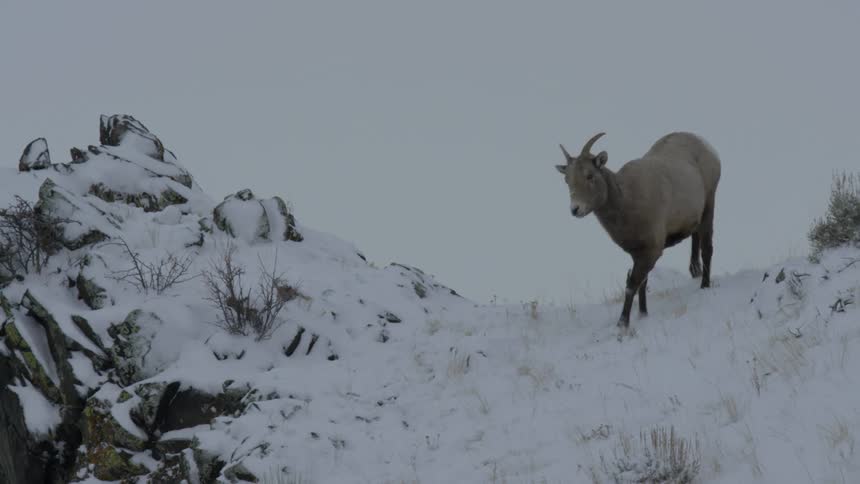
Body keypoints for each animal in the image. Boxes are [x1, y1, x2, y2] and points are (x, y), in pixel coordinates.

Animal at [555, 132, 721, 329]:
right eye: (567, 180)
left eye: (590, 175)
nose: (575, 209)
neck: (627, 201)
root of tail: (705, 144)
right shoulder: (638, 253)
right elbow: (642, 282)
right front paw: (643, 314)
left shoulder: (651, 251)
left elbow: (632, 285)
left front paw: (622, 323)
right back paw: (695, 271)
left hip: (709, 205)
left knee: (707, 248)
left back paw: (704, 286)